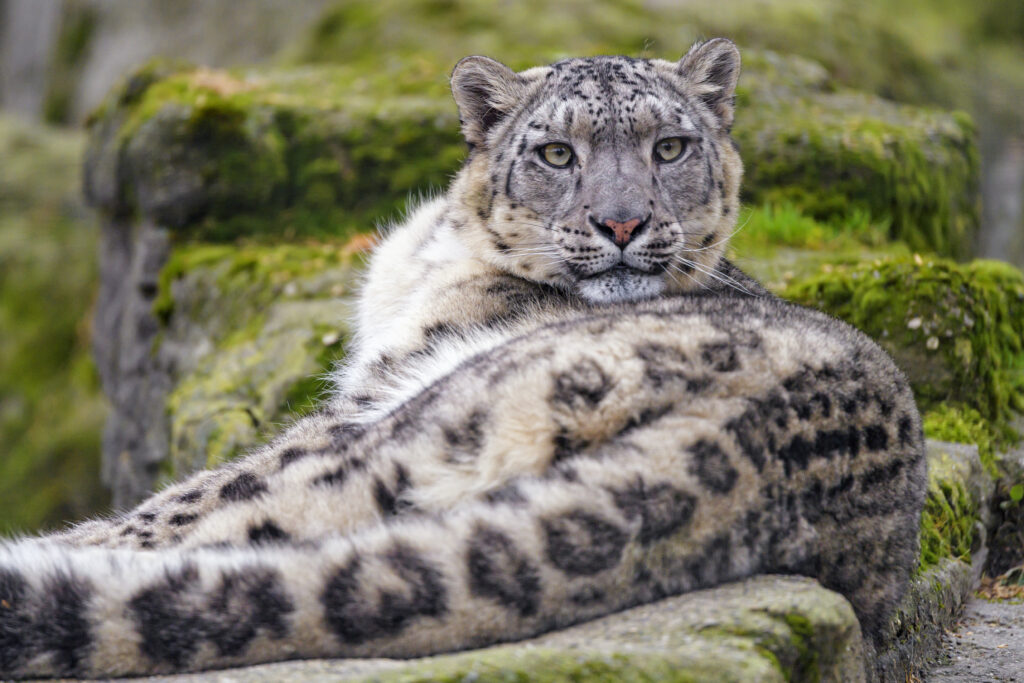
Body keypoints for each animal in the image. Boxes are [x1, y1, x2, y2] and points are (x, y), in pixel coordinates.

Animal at [0, 39, 926, 680]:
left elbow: (183, 500)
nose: (622, 222)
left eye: (670, 146)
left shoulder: (361, 395)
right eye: (556, 153)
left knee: (213, 515)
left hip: (404, 428)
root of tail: (751, 447)